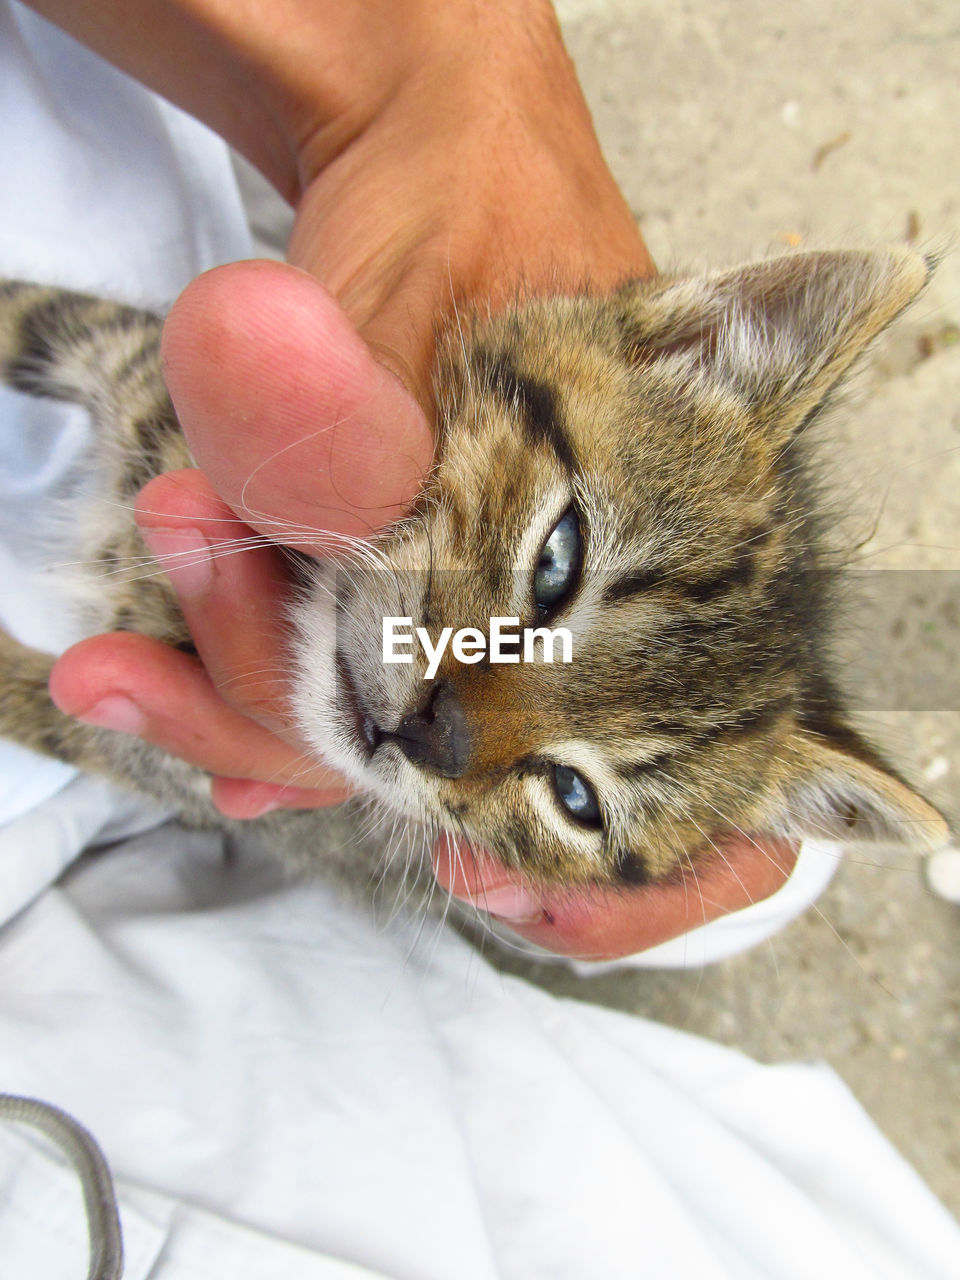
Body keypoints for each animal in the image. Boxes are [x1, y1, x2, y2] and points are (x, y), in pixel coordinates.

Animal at [0, 249, 952, 890]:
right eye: (558, 558)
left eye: (575, 798)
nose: (432, 732)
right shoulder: (115, 347)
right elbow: (23, 309)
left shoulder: (156, 752)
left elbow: (44, 707)